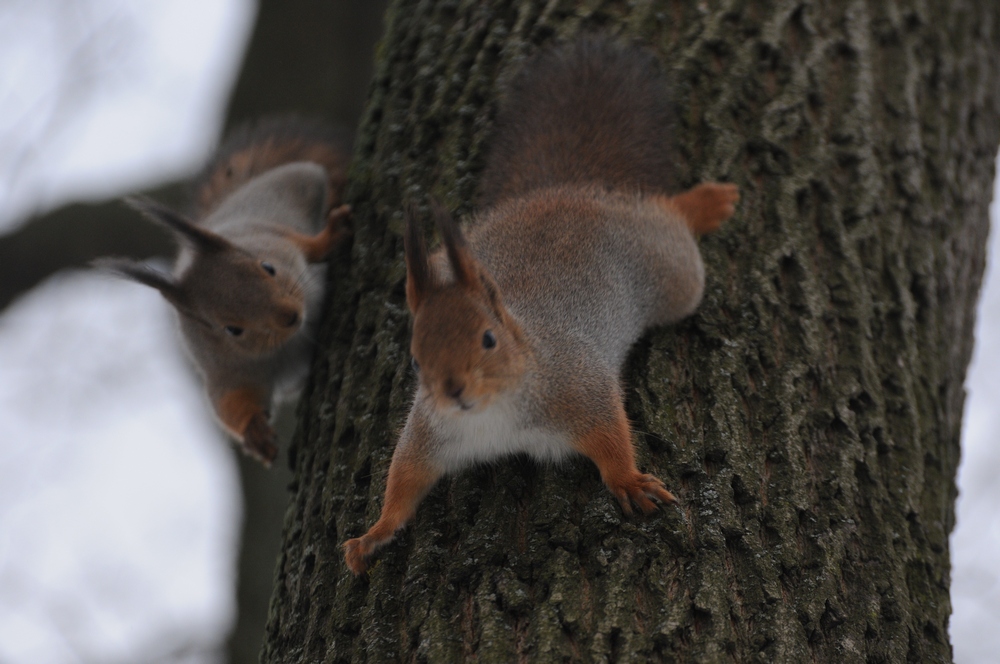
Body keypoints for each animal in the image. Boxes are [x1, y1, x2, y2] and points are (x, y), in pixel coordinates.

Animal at [97, 115, 354, 466]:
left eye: (267, 267)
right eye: (232, 330)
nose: (290, 317)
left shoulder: (277, 225)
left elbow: (307, 192)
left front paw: (328, 237)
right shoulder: (226, 371)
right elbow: (229, 403)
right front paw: (255, 433)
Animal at [346, 36, 744, 572]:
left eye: (488, 339)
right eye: (414, 359)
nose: (453, 391)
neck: (491, 414)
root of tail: (565, 188)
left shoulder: (575, 384)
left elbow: (610, 433)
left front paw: (628, 481)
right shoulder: (431, 430)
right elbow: (405, 477)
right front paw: (373, 533)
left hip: (673, 272)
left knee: (670, 219)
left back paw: (703, 204)